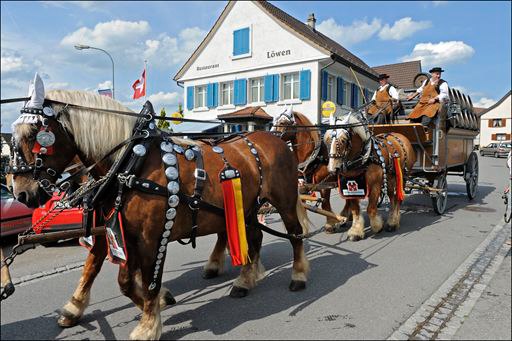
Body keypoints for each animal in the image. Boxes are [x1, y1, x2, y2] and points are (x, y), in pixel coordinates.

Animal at [10, 87, 310, 338]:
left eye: (35, 136)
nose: (20, 193)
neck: (132, 162)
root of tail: (275, 139)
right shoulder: (122, 234)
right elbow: (122, 280)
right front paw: (160, 304)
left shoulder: (151, 238)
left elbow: (148, 281)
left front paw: (148, 324)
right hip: (246, 207)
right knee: (255, 238)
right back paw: (245, 280)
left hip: (283, 200)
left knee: (295, 234)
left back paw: (297, 276)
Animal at [324, 110, 416, 240]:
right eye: (327, 140)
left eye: (343, 140)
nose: (333, 168)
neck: (365, 157)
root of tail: (400, 136)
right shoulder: (351, 186)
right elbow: (355, 209)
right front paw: (356, 231)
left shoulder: (375, 184)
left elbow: (371, 208)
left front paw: (377, 226)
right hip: (389, 178)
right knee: (392, 197)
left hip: (402, 177)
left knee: (398, 198)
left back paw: (393, 222)